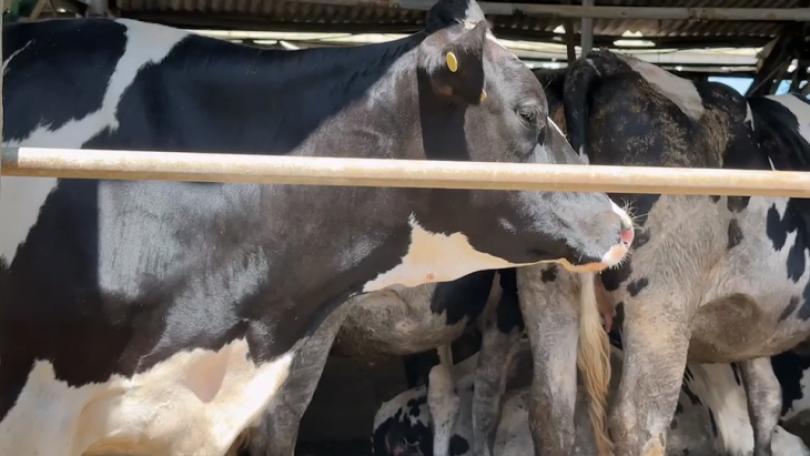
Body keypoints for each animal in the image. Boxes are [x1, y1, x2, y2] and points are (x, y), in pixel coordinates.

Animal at [516, 49, 810, 456]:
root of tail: (602, 63)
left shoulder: (753, 326)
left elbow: (765, 398)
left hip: (546, 289)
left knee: (550, 412)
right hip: (661, 301)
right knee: (639, 420)